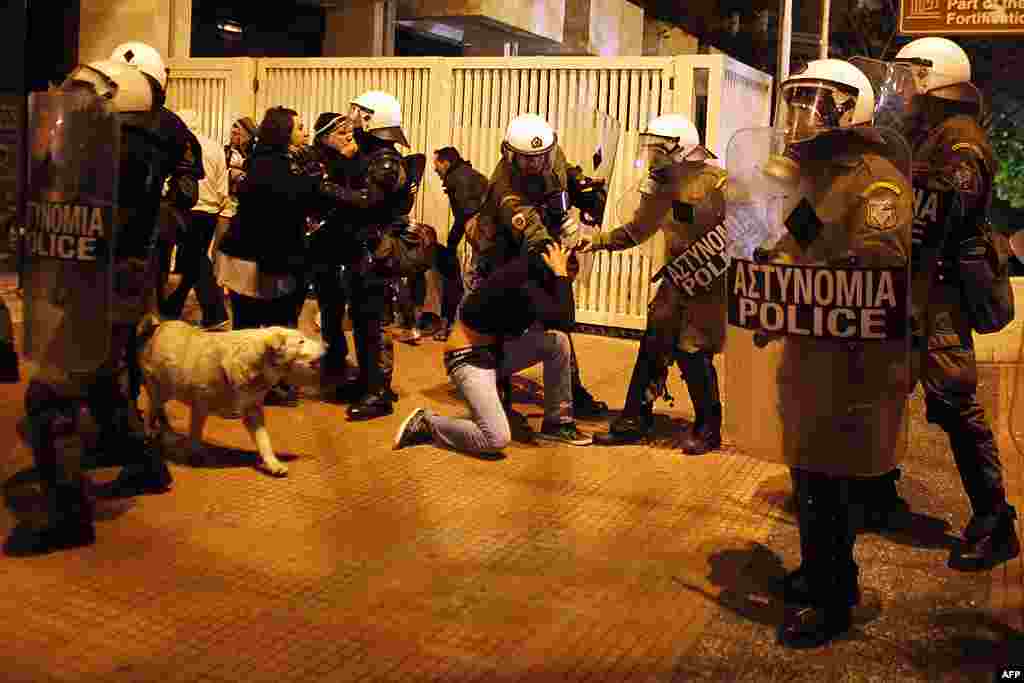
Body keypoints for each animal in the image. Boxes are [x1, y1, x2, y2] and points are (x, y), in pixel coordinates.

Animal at [137, 317, 323, 479]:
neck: (254, 364)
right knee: (150, 408)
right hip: (160, 391)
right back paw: (149, 431)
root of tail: (159, 326)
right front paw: (195, 455)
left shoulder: (253, 411)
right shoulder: (200, 407)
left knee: (157, 409)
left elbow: (264, 441)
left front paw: (273, 464)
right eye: (301, 342)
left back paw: (166, 429)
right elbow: (196, 435)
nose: (326, 345)